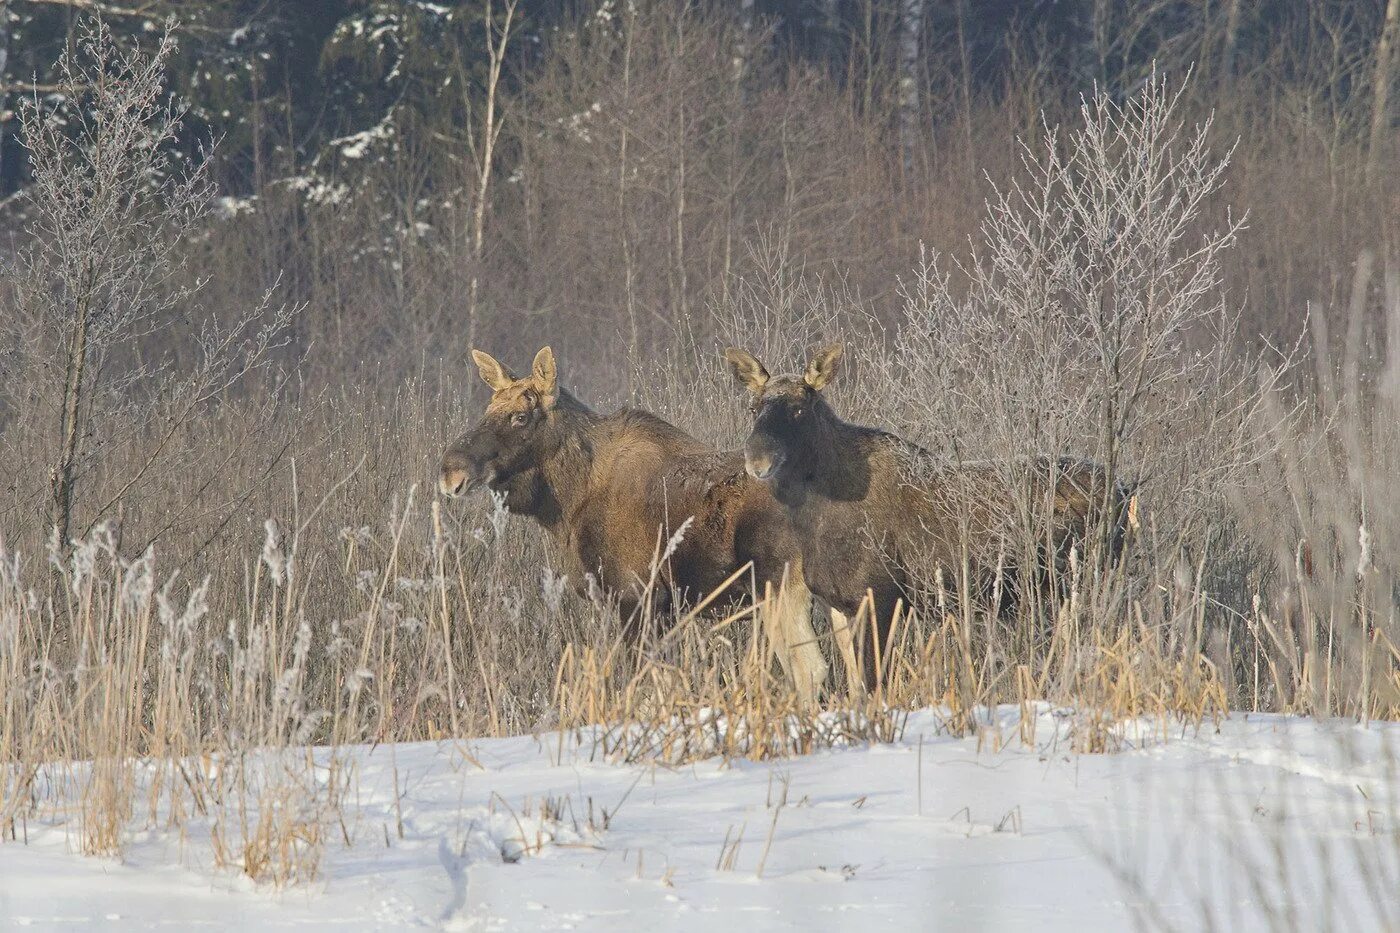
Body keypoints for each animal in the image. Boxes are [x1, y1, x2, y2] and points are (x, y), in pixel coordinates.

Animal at [439, 344, 828, 700]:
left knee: (809, 668)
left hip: (783, 589)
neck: (567, 502)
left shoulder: (637, 595)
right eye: (488, 409)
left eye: (520, 417)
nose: (449, 471)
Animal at [722, 343, 1125, 689]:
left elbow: (874, 683)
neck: (811, 516)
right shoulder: (836, 604)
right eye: (754, 408)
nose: (758, 461)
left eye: (799, 409)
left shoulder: (881, 598)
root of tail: (1124, 490)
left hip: (1085, 583)